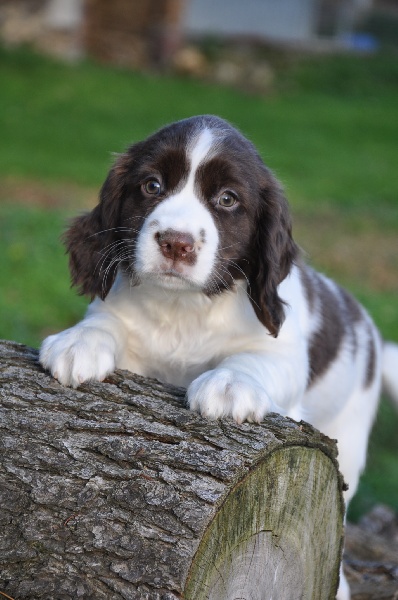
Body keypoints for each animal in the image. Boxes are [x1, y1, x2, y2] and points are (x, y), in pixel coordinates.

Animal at [39, 115, 398, 596]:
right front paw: (79, 342)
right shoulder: (118, 313)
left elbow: (254, 359)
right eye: (152, 185)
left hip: (352, 436)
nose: (176, 243)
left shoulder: (283, 350)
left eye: (227, 199)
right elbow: (105, 320)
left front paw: (228, 385)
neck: (184, 309)